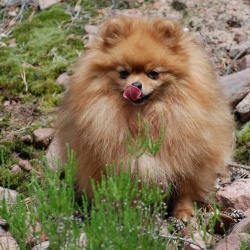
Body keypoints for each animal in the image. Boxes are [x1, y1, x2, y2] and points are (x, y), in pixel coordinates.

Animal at [55, 17, 233, 221]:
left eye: (154, 73)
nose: (135, 85)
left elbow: (185, 190)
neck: (144, 117)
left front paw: (183, 212)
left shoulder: (190, 162)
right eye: (123, 72)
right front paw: (136, 218)